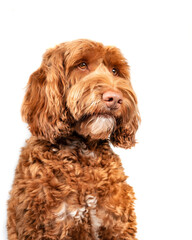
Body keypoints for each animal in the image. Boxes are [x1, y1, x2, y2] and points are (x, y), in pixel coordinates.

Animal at [7, 38, 140, 239]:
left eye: (115, 70)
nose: (115, 98)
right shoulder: (48, 225)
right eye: (82, 65)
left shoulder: (117, 223)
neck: (84, 152)